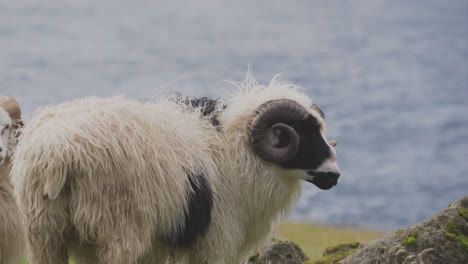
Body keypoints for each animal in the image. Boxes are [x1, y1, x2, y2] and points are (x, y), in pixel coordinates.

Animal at [11, 72, 340, 264]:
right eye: (301, 134)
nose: (335, 175)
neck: (235, 153)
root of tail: (59, 150)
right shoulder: (214, 241)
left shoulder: (156, 245)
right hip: (117, 233)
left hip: (44, 234)